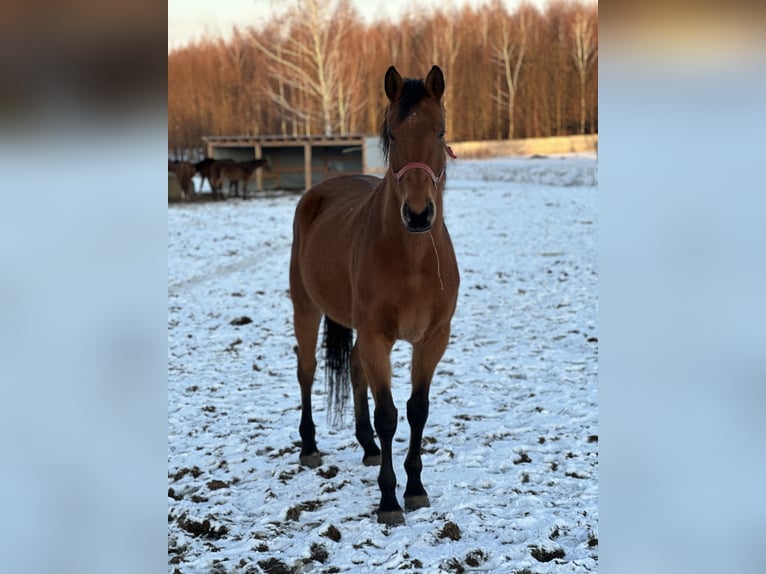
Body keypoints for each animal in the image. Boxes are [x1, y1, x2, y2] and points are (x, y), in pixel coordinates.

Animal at [286, 66, 456, 528]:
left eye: (440, 131)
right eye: (393, 134)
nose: (418, 214)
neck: (412, 260)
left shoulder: (432, 339)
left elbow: (417, 410)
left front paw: (414, 488)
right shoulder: (378, 336)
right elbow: (388, 414)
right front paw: (389, 500)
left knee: (355, 367)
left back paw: (367, 446)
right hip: (306, 309)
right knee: (307, 371)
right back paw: (309, 447)